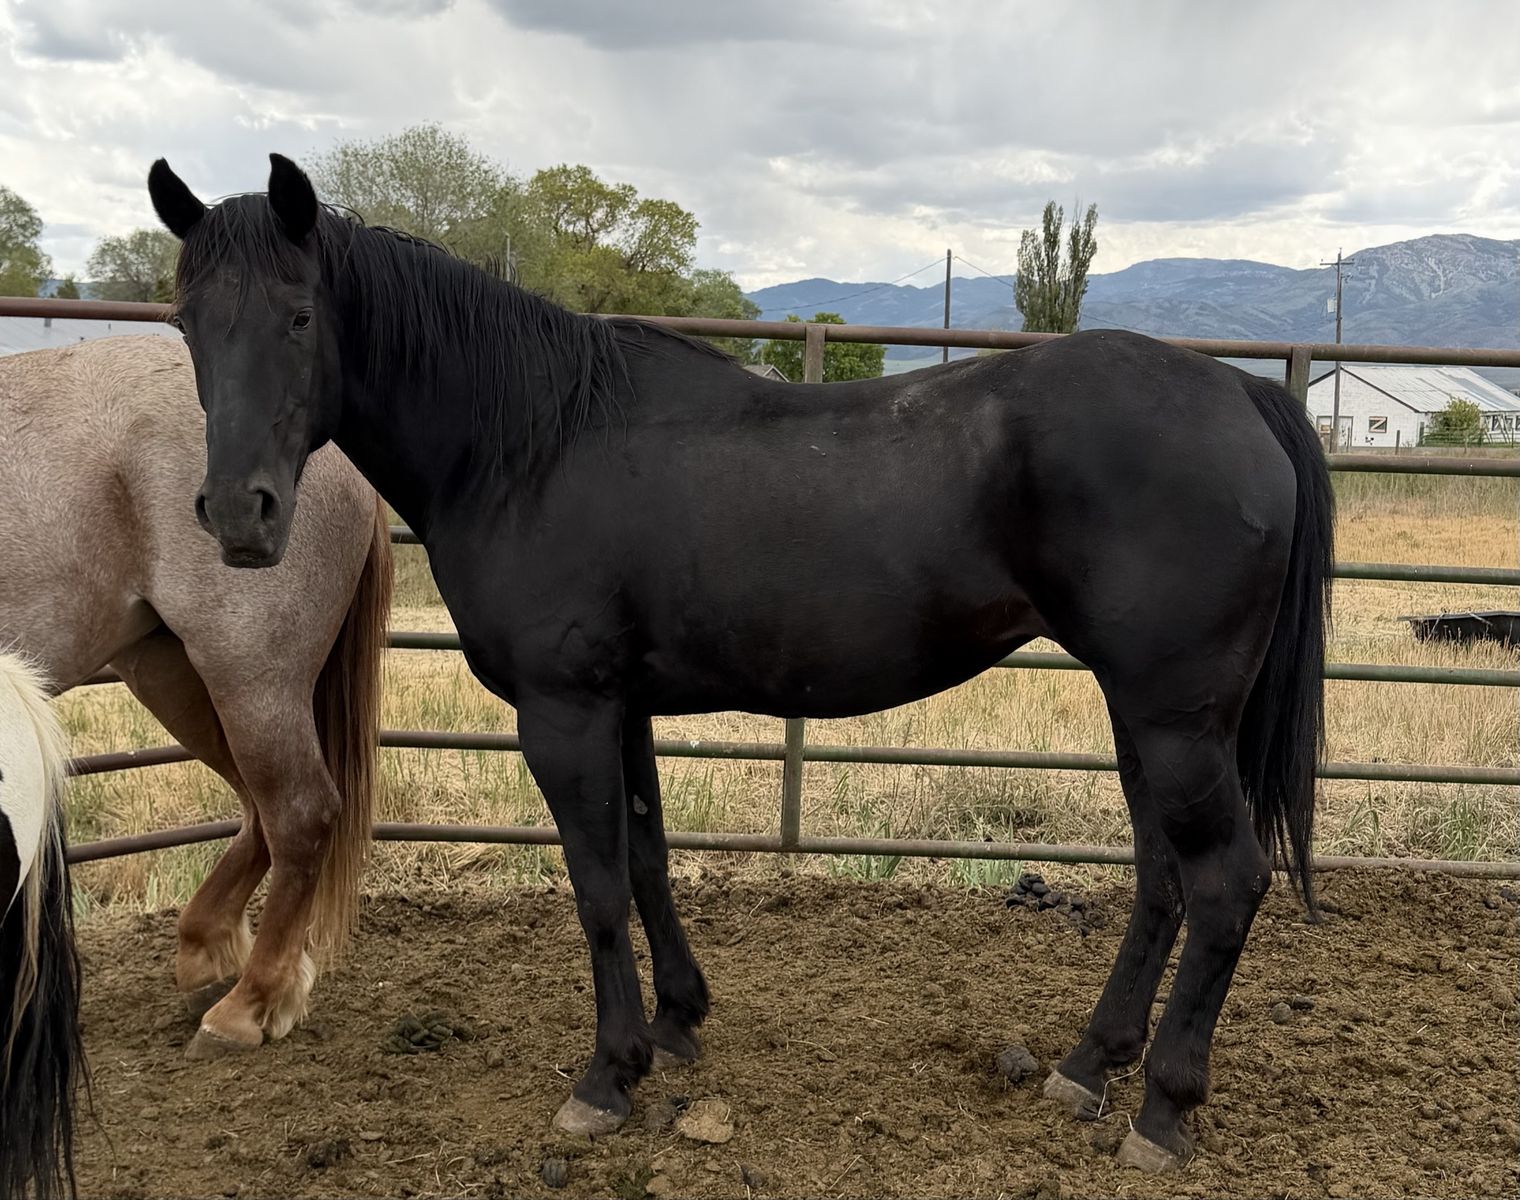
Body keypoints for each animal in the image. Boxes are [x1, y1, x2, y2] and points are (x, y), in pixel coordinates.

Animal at [0, 335, 391, 1058]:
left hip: (247, 671)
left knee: (299, 813)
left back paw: (246, 1005)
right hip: (173, 673)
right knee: (259, 810)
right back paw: (213, 959)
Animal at [148, 154, 1333, 1173]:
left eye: (300, 317)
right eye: (189, 324)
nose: (242, 517)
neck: (527, 444)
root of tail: (1241, 395)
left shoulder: (563, 713)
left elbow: (593, 887)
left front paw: (607, 1078)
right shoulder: (620, 707)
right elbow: (646, 860)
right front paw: (676, 1024)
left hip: (1175, 718)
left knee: (1224, 880)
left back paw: (1162, 1109)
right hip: (1145, 717)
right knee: (1162, 878)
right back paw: (1089, 1067)